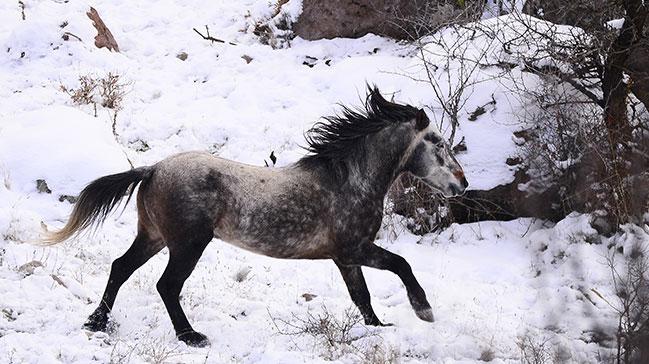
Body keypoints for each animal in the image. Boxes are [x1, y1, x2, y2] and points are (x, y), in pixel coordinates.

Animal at [44, 86, 466, 346]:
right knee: (167, 286)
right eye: (438, 143)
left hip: (153, 236)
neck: (350, 179)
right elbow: (401, 265)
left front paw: (379, 328)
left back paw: (97, 322)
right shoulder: (355, 249)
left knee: (120, 268)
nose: (462, 184)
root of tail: (153, 170)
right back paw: (191, 336)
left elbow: (361, 296)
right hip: (187, 244)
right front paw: (424, 311)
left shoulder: (345, 258)